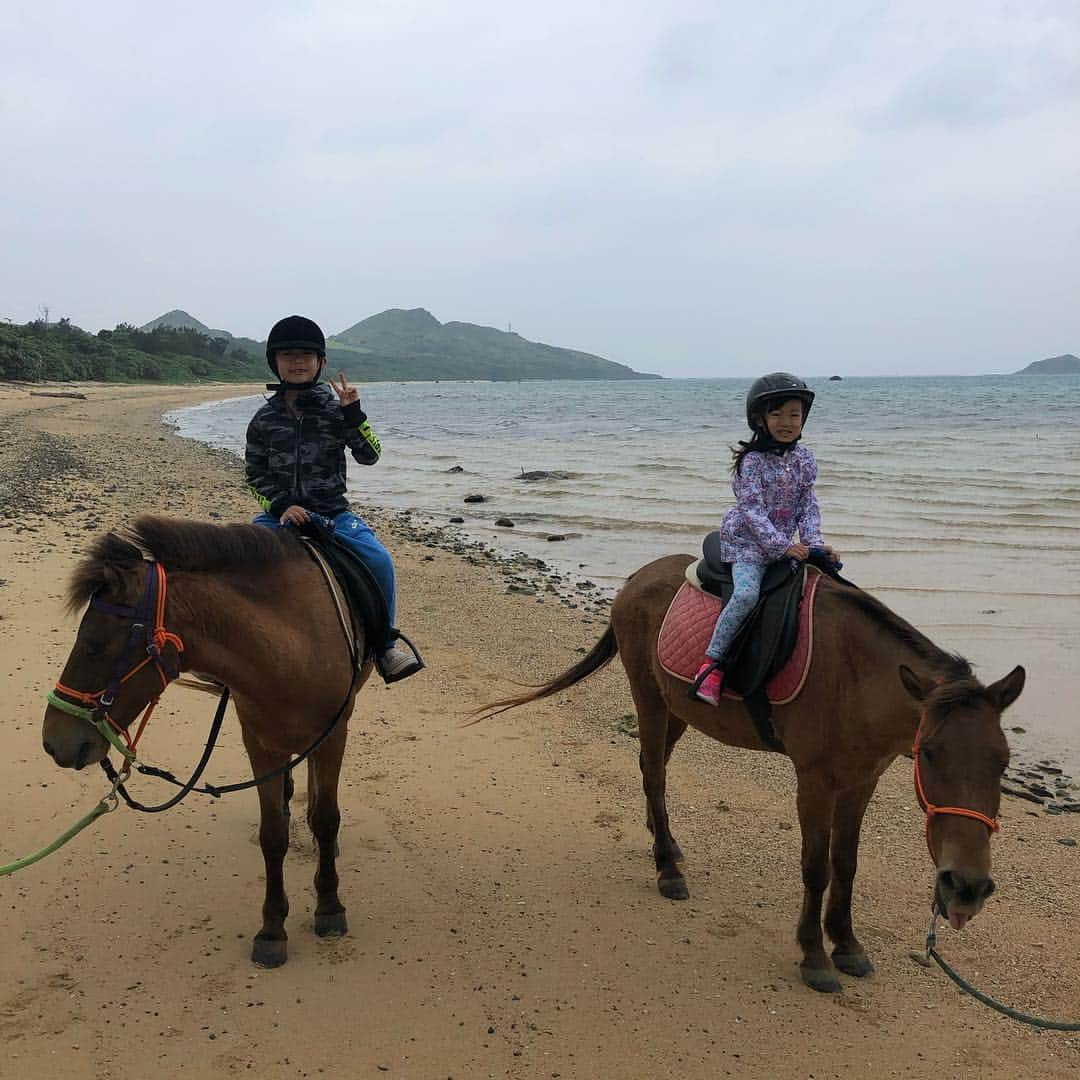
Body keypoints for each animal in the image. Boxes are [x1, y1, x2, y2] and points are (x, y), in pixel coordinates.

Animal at [41, 518, 371, 967]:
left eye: (94, 647)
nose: (54, 741)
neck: (292, 645)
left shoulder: (334, 735)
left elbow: (325, 818)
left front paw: (329, 906)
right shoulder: (261, 743)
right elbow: (273, 835)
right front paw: (272, 929)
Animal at [486, 561, 1023, 989]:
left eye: (1003, 762)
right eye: (929, 754)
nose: (966, 887)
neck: (856, 679)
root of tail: (638, 578)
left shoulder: (860, 782)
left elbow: (846, 864)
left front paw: (846, 945)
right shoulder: (815, 782)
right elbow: (816, 867)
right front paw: (814, 955)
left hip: (678, 710)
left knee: (650, 768)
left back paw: (667, 844)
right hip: (649, 699)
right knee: (654, 774)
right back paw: (667, 870)